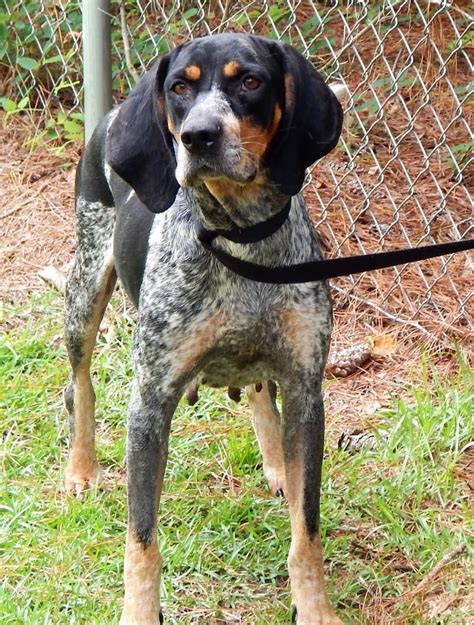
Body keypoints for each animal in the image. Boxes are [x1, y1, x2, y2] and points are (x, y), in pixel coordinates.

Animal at [65, 34, 342, 624]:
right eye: (179, 87)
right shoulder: (150, 405)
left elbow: (305, 532)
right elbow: (141, 541)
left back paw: (276, 465)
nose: (197, 136)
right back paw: (80, 469)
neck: (242, 242)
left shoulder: (306, 393)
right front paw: (138, 614)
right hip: (84, 291)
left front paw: (316, 610)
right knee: (80, 384)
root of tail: (113, 113)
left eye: (250, 81)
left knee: (259, 391)